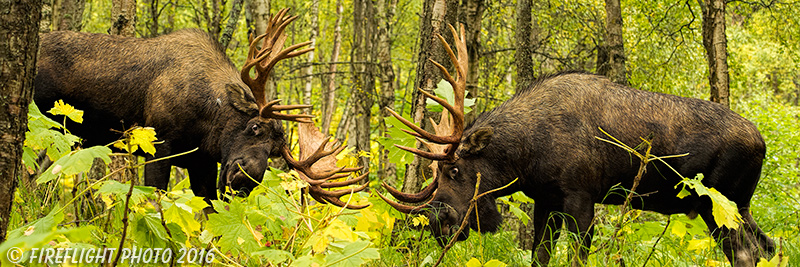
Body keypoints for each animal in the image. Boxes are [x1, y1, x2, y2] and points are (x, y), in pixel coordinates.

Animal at [33, 8, 366, 209]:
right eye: (254, 126)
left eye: (274, 153)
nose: (245, 179)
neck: (208, 123)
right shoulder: (160, 143)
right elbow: (156, 201)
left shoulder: (202, 162)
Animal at [382, 24, 776, 266]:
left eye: (454, 169)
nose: (439, 221)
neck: (526, 156)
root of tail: (761, 143)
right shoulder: (546, 202)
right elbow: (539, 257)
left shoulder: (581, 198)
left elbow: (576, 257)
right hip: (740, 205)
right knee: (768, 246)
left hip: (717, 203)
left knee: (745, 253)